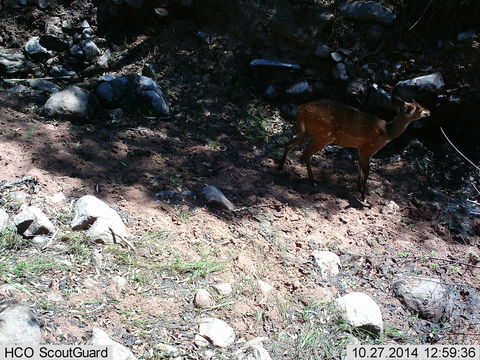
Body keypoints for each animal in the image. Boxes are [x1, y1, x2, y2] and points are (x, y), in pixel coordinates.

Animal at [278, 98, 432, 200]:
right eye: (420, 111)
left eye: (421, 105)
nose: (429, 111)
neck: (387, 133)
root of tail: (302, 110)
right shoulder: (367, 149)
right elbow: (367, 171)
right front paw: (363, 196)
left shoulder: (360, 149)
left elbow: (359, 166)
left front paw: (358, 187)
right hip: (324, 135)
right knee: (306, 152)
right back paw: (312, 181)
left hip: (309, 132)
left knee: (289, 143)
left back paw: (280, 167)